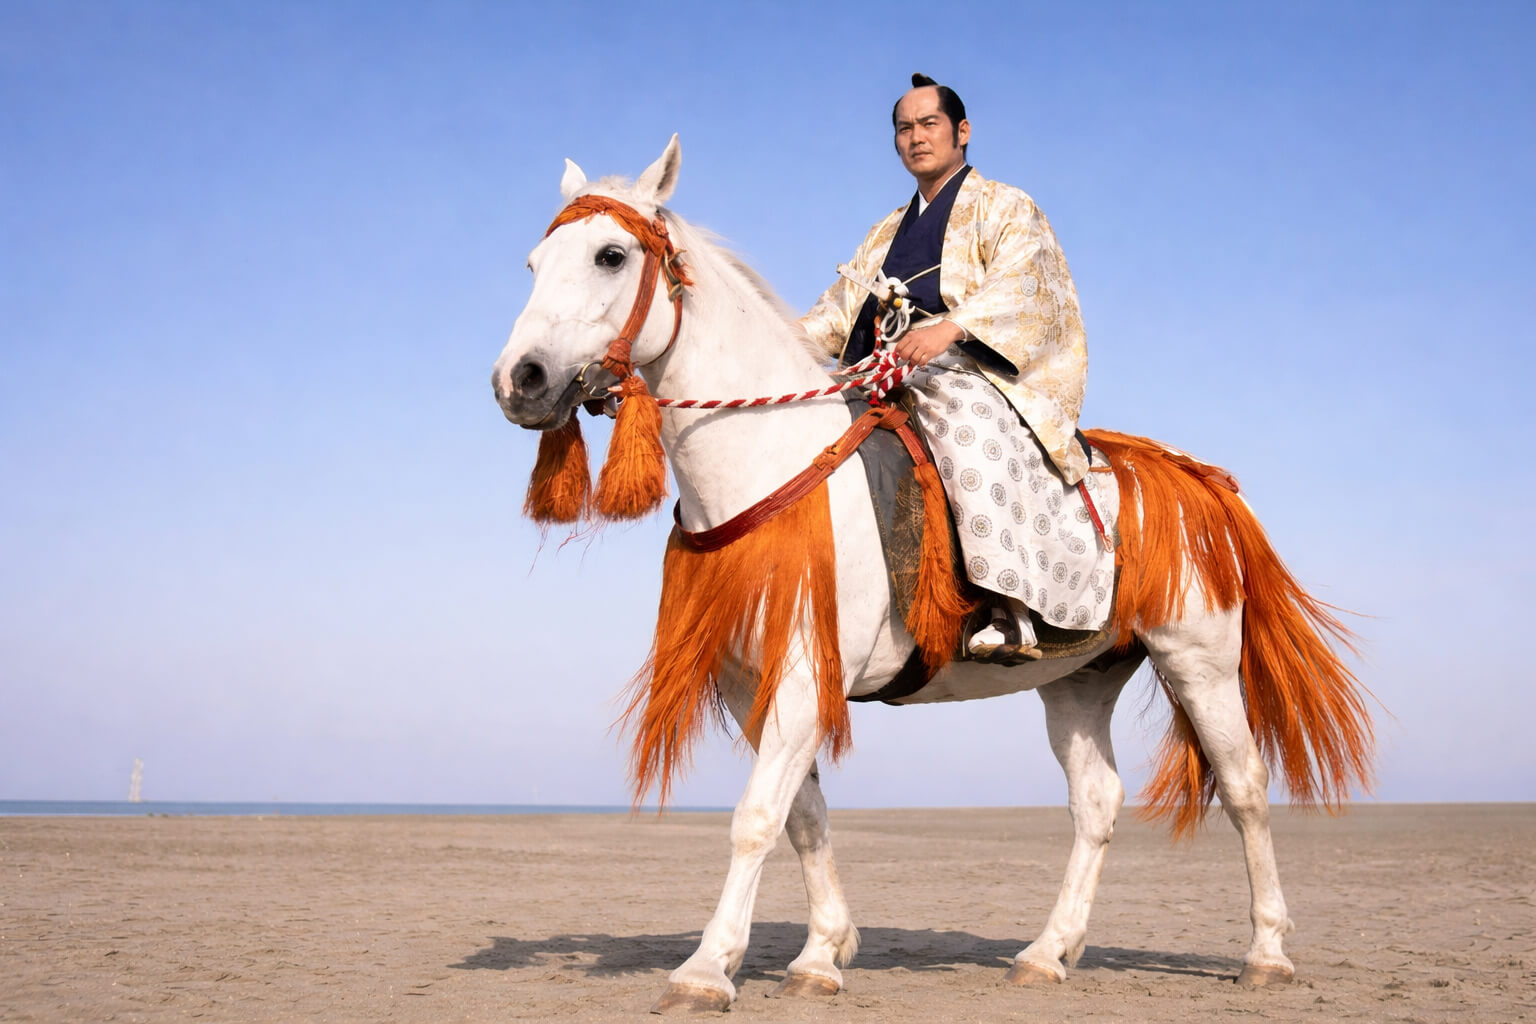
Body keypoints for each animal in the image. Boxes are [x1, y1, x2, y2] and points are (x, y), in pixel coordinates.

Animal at [490, 135, 1375, 1014]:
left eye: (610, 255)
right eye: (533, 263)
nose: (519, 380)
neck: (770, 462)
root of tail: (1194, 480)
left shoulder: (805, 673)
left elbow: (756, 817)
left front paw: (708, 969)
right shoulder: (755, 683)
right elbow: (802, 815)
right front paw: (821, 953)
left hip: (1198, 659)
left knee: (1246, 785)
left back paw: (1266, 953)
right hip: (1081, 676)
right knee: (1096, 800)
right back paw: (1047, 952)